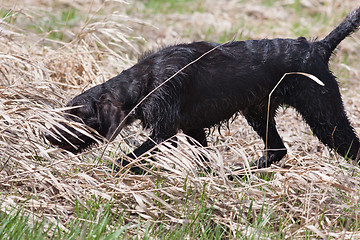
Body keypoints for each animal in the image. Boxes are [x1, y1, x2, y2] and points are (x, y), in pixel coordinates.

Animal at [46, 7, 360, 172]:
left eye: (76, 118)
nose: (47, 136)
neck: (146, 82)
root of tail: (319, 47)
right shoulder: (192, 129)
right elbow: (202, 158)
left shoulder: (165, 133)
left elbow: (128, 157)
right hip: (259, 113)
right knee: (276, 150)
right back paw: (237, 175)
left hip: (326, 119)